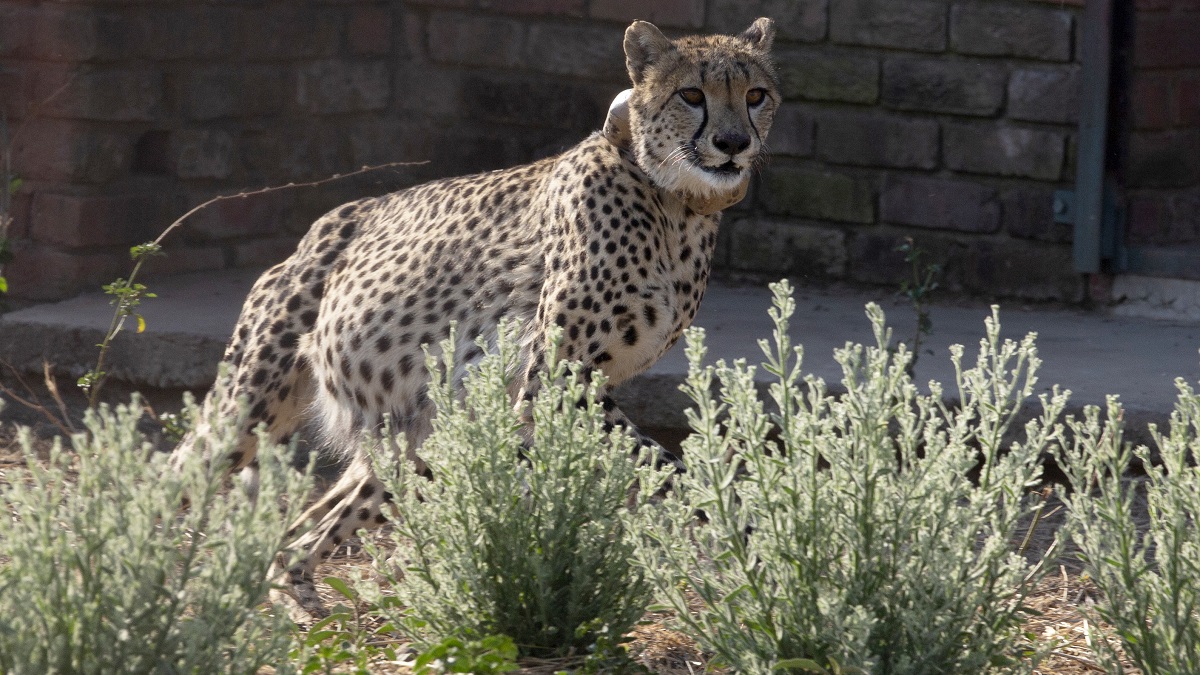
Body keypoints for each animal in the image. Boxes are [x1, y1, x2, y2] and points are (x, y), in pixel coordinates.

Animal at [174, 15, 782, 619]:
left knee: (311, 527)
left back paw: (296, 593)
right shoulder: (555, 383)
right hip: (247, 408)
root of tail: (314, 233)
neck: (677, 205)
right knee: (182, 471)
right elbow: (660, 463)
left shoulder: (579, 386)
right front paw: (742, 529)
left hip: (419, 432)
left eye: (755, 95)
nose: (733, 143)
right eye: (691, 95)